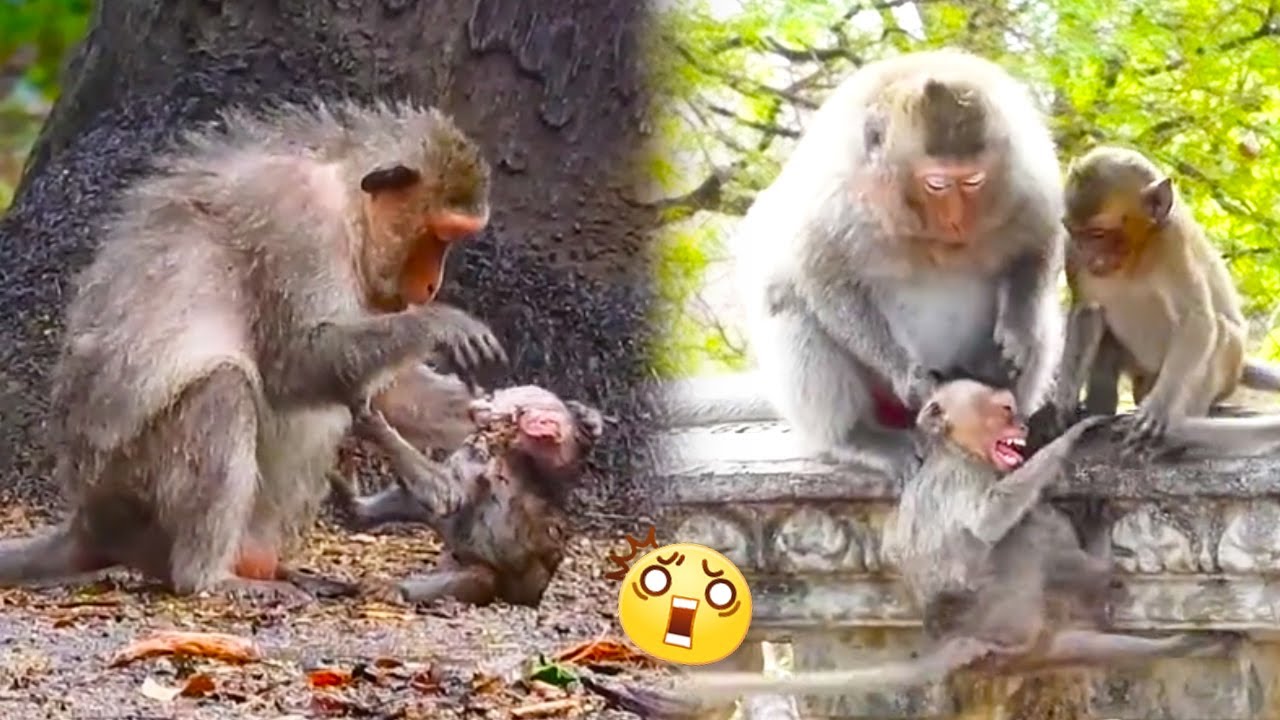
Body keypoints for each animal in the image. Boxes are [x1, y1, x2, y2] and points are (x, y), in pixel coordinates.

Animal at [0, 100, 508, 601]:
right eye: (438, 236)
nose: (431, 286)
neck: (347, 199)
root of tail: (90, 522)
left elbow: (381, 389)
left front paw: (477, 414)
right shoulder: (300, 223)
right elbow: (294, 364)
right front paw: (440, 323)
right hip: (131, 493)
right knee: (224, 390)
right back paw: (209, 576)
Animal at [329, 385, 604, 607]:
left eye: (493, 398)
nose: (477, 402)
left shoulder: (485, 450)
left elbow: (447, 496)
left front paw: (370, 420)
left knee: (482, 578)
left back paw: (393, 588)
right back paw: (354, 503)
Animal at [684, 378, 1239, 699]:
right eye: (1005, 410)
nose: (1022, 423)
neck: (959, 451)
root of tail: (962, 636)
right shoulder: (966, 478)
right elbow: (990, 522)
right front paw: (1072, 436)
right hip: (1006, 609)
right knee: (1023, 536)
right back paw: (1098, 569)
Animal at [730, 49, 1066, 479]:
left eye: (973, 181)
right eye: (937, 184)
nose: (956, 220)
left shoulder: (1026, 170)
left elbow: (1037, 243)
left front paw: (1016, 332)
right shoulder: (834, 188)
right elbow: (816, 270)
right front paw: (906, 374)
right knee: (786, 299)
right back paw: (855, 438)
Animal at [1056, 146, 1280, 450]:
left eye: (1098, 234)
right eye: (1075, 233)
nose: (1090, 258)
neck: (1135, 255)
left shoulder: (1173, 240)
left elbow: (1196, 319)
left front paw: (1158, 410)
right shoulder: (1072, 254)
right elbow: (1086, 310)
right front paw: (1065, 399)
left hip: (1224, 372)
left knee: (1222, 331)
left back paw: (1182, 424)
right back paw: (1097, 412)